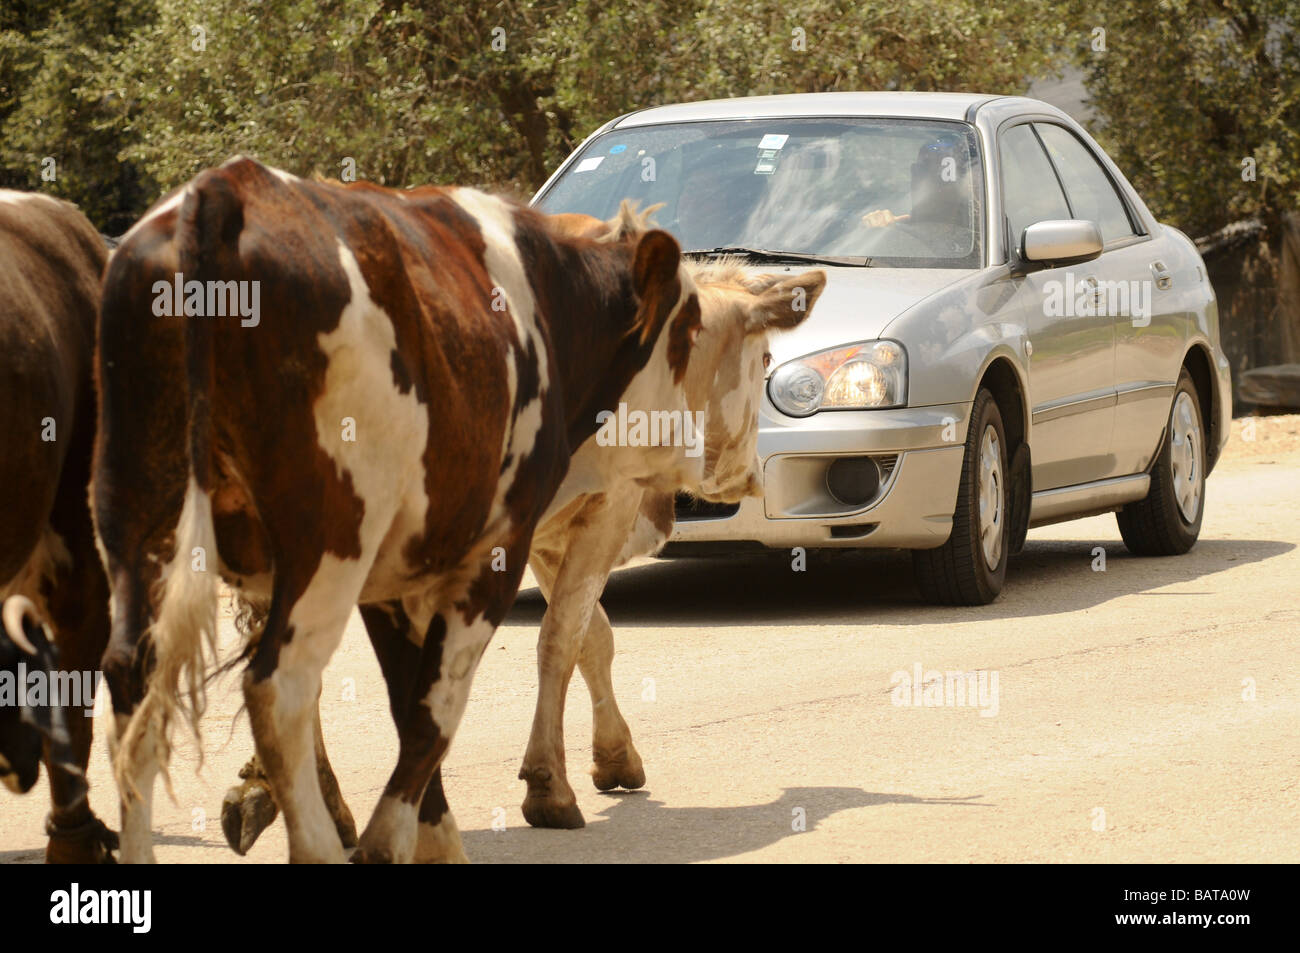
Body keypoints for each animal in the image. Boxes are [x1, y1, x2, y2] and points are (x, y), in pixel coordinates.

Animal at [92, 157, 703, 863]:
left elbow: (407, 701)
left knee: (132, 685)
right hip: (328, 543)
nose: (694, 452)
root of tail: (227, 189)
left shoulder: (392, 578)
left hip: (138, 522)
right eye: (690, 330)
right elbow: (435, 710)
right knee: (279, 688)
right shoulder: (494, 549)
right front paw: (394, 842)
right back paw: (320, 843)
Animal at [218, 208, 825, 849]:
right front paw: (548, 784)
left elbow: (592, 636)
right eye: (764, 360)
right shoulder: (600, 508)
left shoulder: (548, 530)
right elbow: (561, 637)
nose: (745, 477)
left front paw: (614, 755)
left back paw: (300, 800)